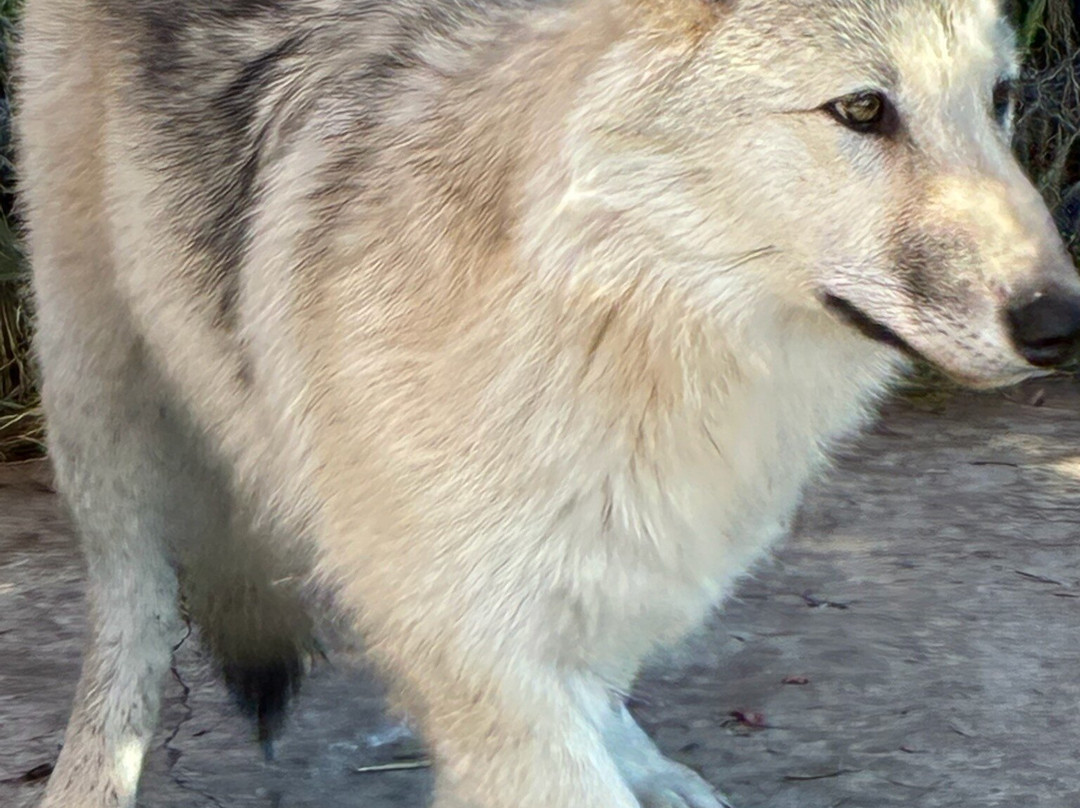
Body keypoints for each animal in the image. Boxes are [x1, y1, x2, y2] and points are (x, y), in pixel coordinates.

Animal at [17, 0, 1080, 806]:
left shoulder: (611, 563)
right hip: (92, 375)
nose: (1062, 321)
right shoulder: (479, 643)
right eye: (862, 108)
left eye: (998, 97)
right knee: (132, 598)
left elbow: (595, 682)